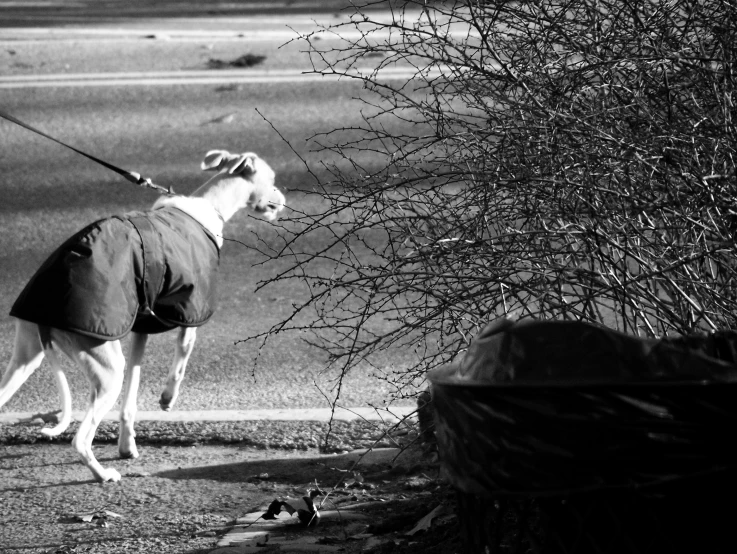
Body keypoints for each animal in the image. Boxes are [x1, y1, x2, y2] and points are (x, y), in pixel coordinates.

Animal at [0, 149, 284, 480]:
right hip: (106, 366)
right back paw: (103, 474)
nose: (283, 199)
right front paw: (167, 398)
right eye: (272, 179)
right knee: (80, 439)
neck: (206, 207)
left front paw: (127, 445)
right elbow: (181, 359)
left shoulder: (141, 327)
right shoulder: (189, 313)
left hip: (27, 356)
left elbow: (130, 398)